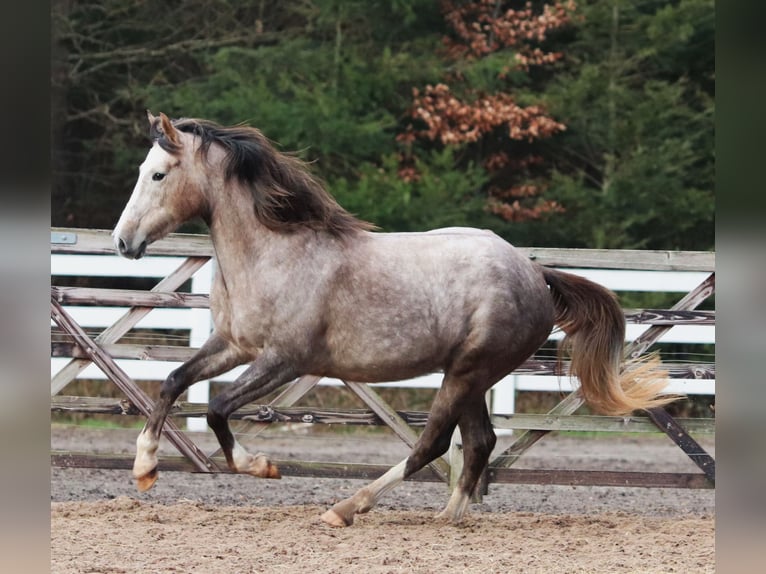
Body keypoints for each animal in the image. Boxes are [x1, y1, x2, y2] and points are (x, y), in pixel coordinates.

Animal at [114, 110, 680, 528]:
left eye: (158, 174)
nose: (123, 242)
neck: (274, 252)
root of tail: (534, 273)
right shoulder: (234, 345)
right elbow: (172, 381)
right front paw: (143, 468)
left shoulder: (285, 360)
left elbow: (217, 408)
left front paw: (261, 467)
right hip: (470, 376)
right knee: (479, 443)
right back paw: (448, 517)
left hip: (468, 371)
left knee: (434, 444)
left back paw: (347, 508)